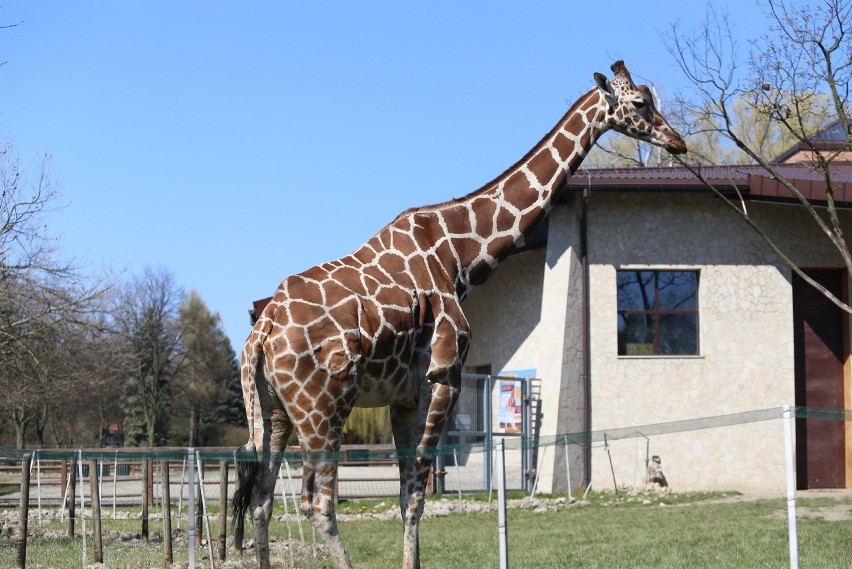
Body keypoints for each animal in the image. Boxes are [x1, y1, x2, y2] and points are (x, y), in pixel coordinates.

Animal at [233, 60, 684, 564]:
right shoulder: (444, 378)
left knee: (262, 501)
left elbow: (407, 496)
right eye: (641, 102)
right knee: (318, 503)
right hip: (323, 406)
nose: (677, 142)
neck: (459, 255)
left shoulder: (404, 396)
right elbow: (415, 498)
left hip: (273, 412)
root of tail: (261, 333)